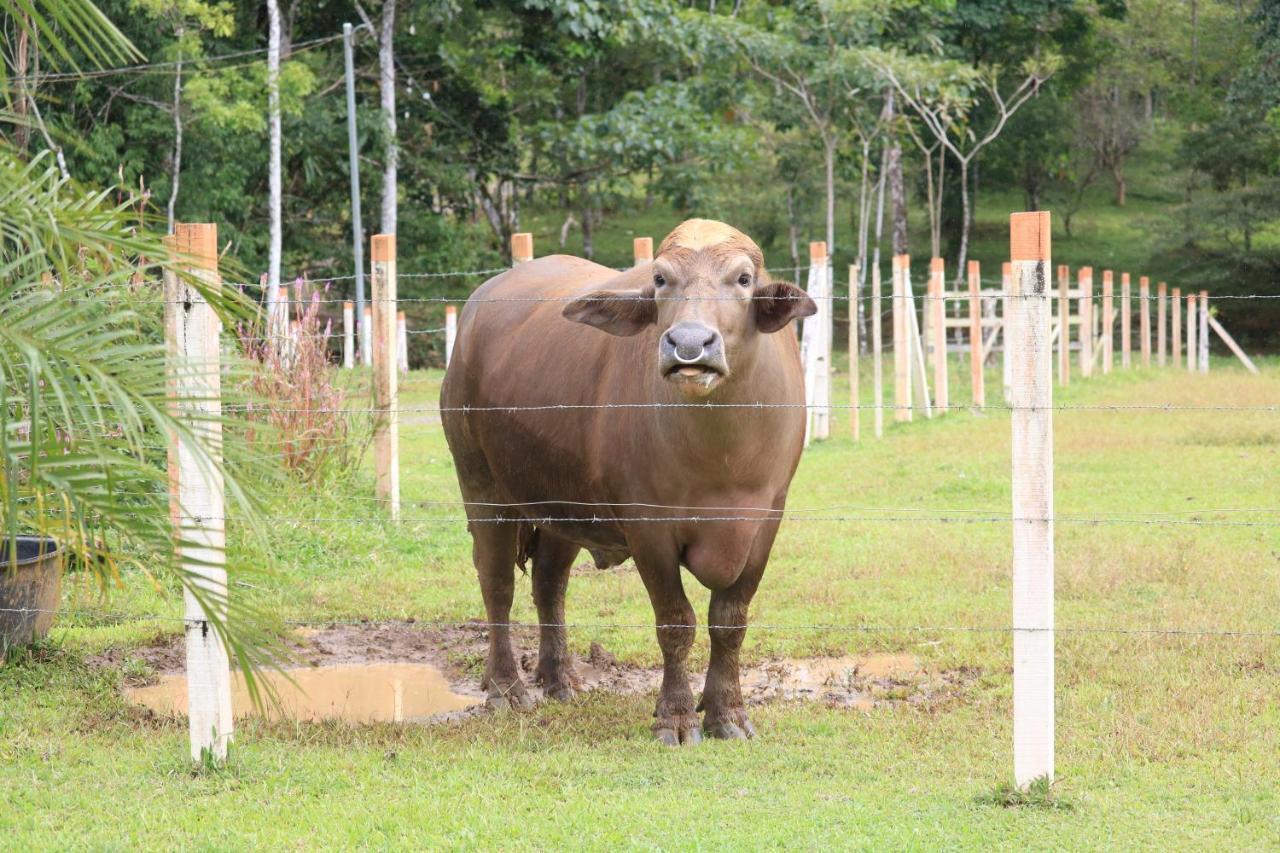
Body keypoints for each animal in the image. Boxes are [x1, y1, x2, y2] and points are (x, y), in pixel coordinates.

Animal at [440, 220, 814, 742]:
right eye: (660, 279)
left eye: (743, 279)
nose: (690, 345)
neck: (721, 458)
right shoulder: (648, 528)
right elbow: (676, 622)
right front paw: (676, 717)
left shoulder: (765, 522)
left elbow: (730, 620)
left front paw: (727, 714)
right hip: (480, 483)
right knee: (496, 582)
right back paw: (505, 689)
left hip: (563, 503)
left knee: (549, 583)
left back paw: (560, 680)